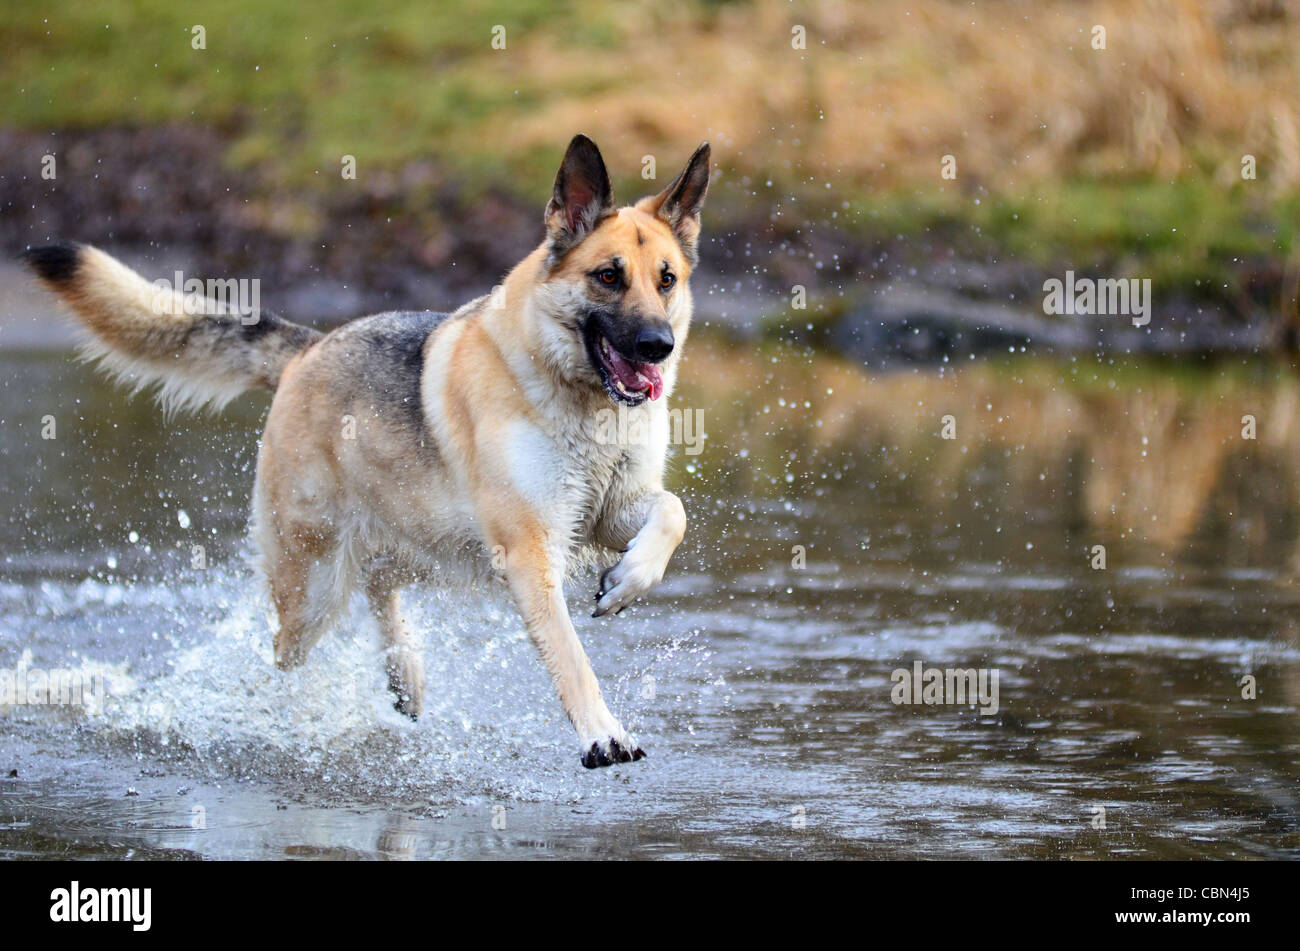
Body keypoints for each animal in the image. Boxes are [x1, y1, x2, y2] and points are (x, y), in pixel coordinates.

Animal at [22, 133, 712, 769]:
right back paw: (295, 717)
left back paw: (406, 675)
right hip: (317, 585)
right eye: (607, 277)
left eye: (667, 281)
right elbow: (570, 655)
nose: (658, 347)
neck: (582, 402)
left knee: (382, 583)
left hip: (433, 544)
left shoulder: (603, 514)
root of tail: (307, 350)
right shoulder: (528, 549)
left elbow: (671, 512)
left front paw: (627, 583)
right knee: (291, 651)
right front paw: (603, 734)